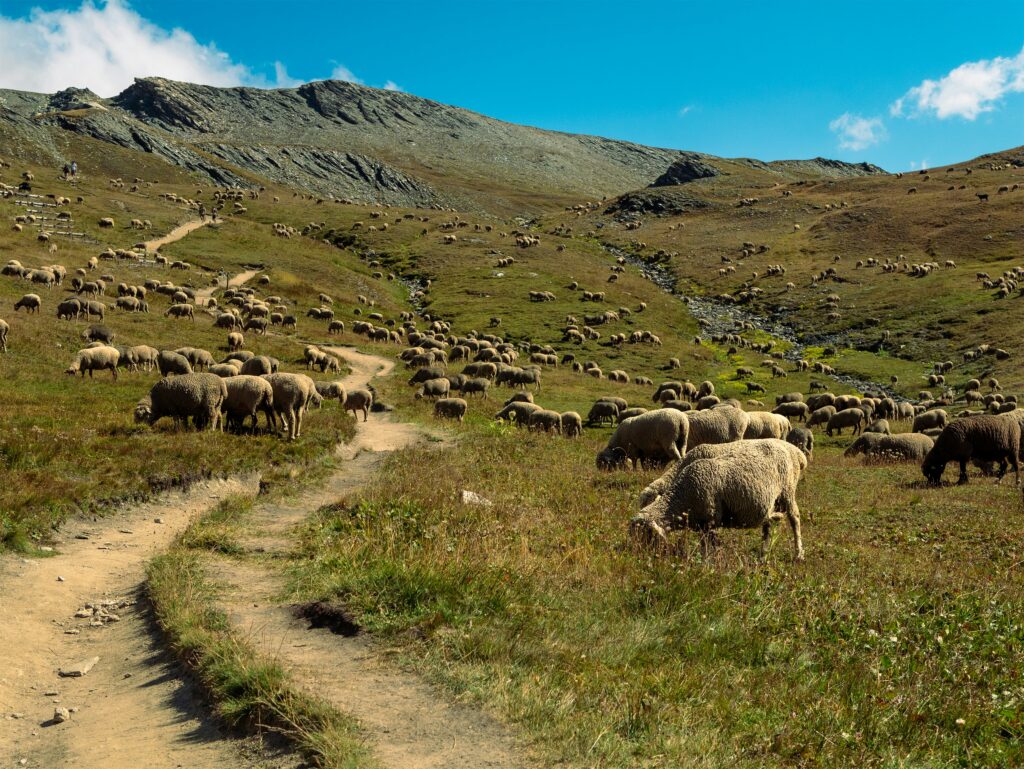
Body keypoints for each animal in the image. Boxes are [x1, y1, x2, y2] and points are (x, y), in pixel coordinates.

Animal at [631, 439, 807, 561]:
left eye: (643, 534)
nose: (635, 555)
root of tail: (796, 452)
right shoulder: (703, 524)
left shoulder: (711, 520)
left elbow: (709, 547)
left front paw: (708, 563)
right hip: (771, 501)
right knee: (767, 526)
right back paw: (763, 554)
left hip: (788, 491)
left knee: (795, 519)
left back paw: (798, 553)